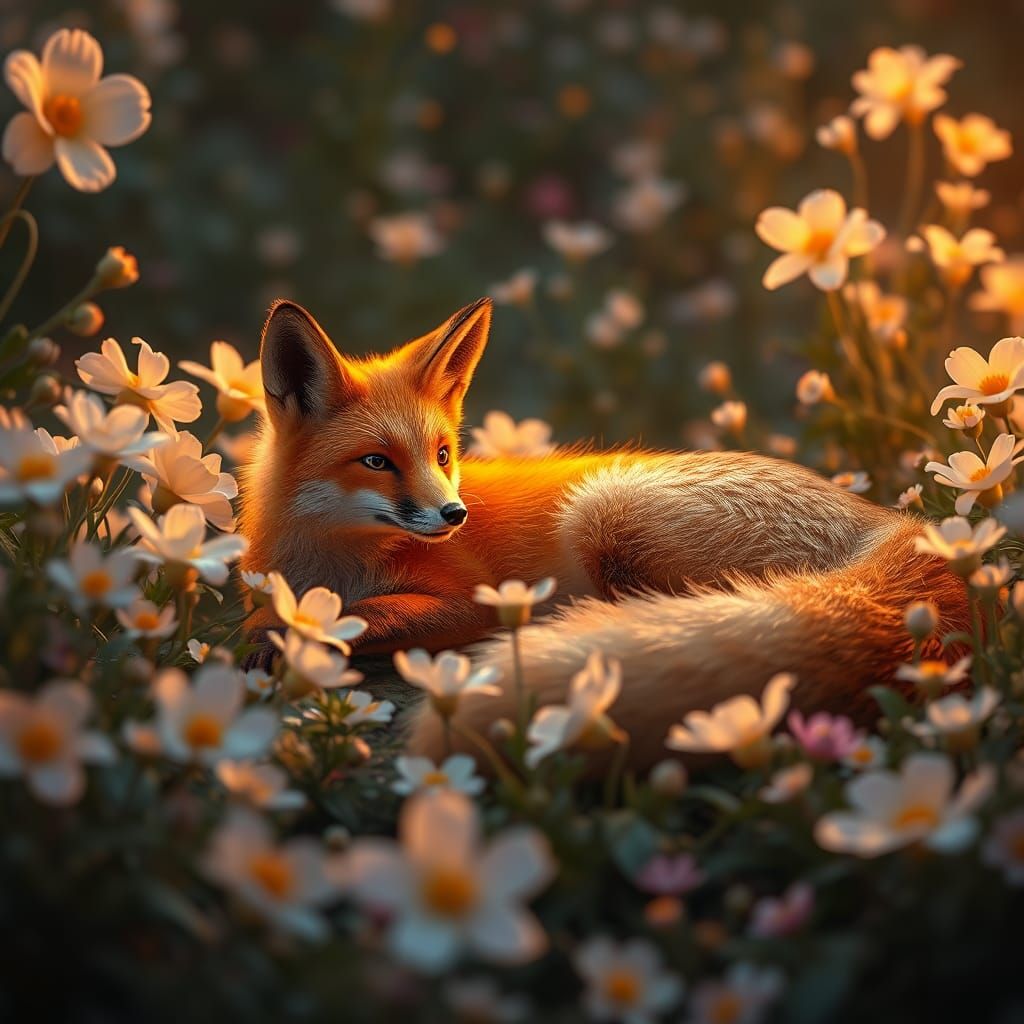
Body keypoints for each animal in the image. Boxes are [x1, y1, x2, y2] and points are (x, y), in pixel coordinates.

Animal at [240, 296, 970, 769]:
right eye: (377, 462)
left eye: (442, 454)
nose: (454, 515)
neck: (326, 563)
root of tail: (895, 524)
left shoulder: (472, 599)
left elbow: (365, 615)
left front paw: (288, 635)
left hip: (604, 515)